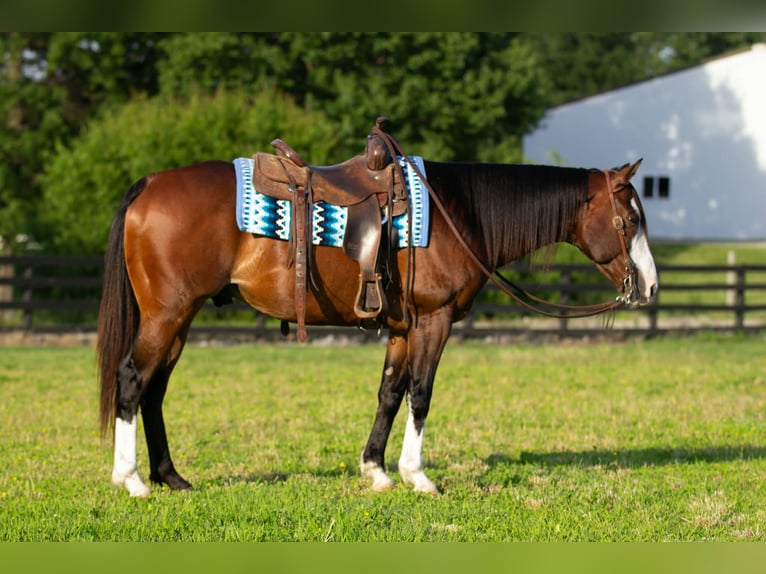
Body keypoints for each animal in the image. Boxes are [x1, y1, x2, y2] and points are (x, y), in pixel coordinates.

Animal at [97, 143, 658, 497]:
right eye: (630, 220)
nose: (651, 286)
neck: (459, 213)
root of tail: (150, 184)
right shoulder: (434, 321)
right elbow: (421, 394)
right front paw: (418, 476)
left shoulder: (403, 328)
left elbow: (390, 393)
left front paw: (377, 471)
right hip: (167, 314)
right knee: (132, 378)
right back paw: (132, 480)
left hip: (180, 318)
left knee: (154, 390)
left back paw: (170, 477)